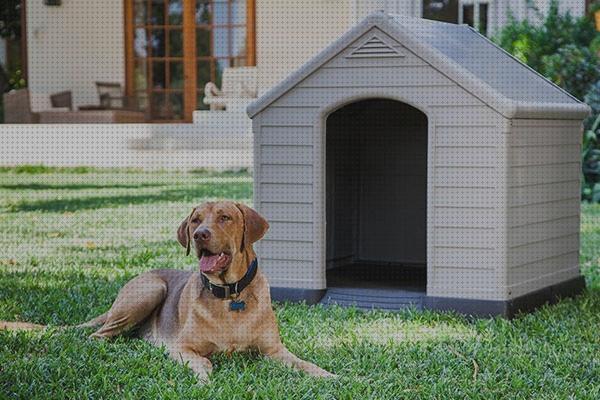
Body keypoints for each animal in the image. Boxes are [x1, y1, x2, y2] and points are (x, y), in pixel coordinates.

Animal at [0, 202, 332, 382]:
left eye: (225, 217)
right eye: (196, 219)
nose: (199, 235)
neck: (230, 296)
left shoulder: (274, 351)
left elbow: (306, 364)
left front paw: (330, 376)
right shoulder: (183, 347)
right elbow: (204, 361)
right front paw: (203, 378)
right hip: (150, 288)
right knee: (99, 336)